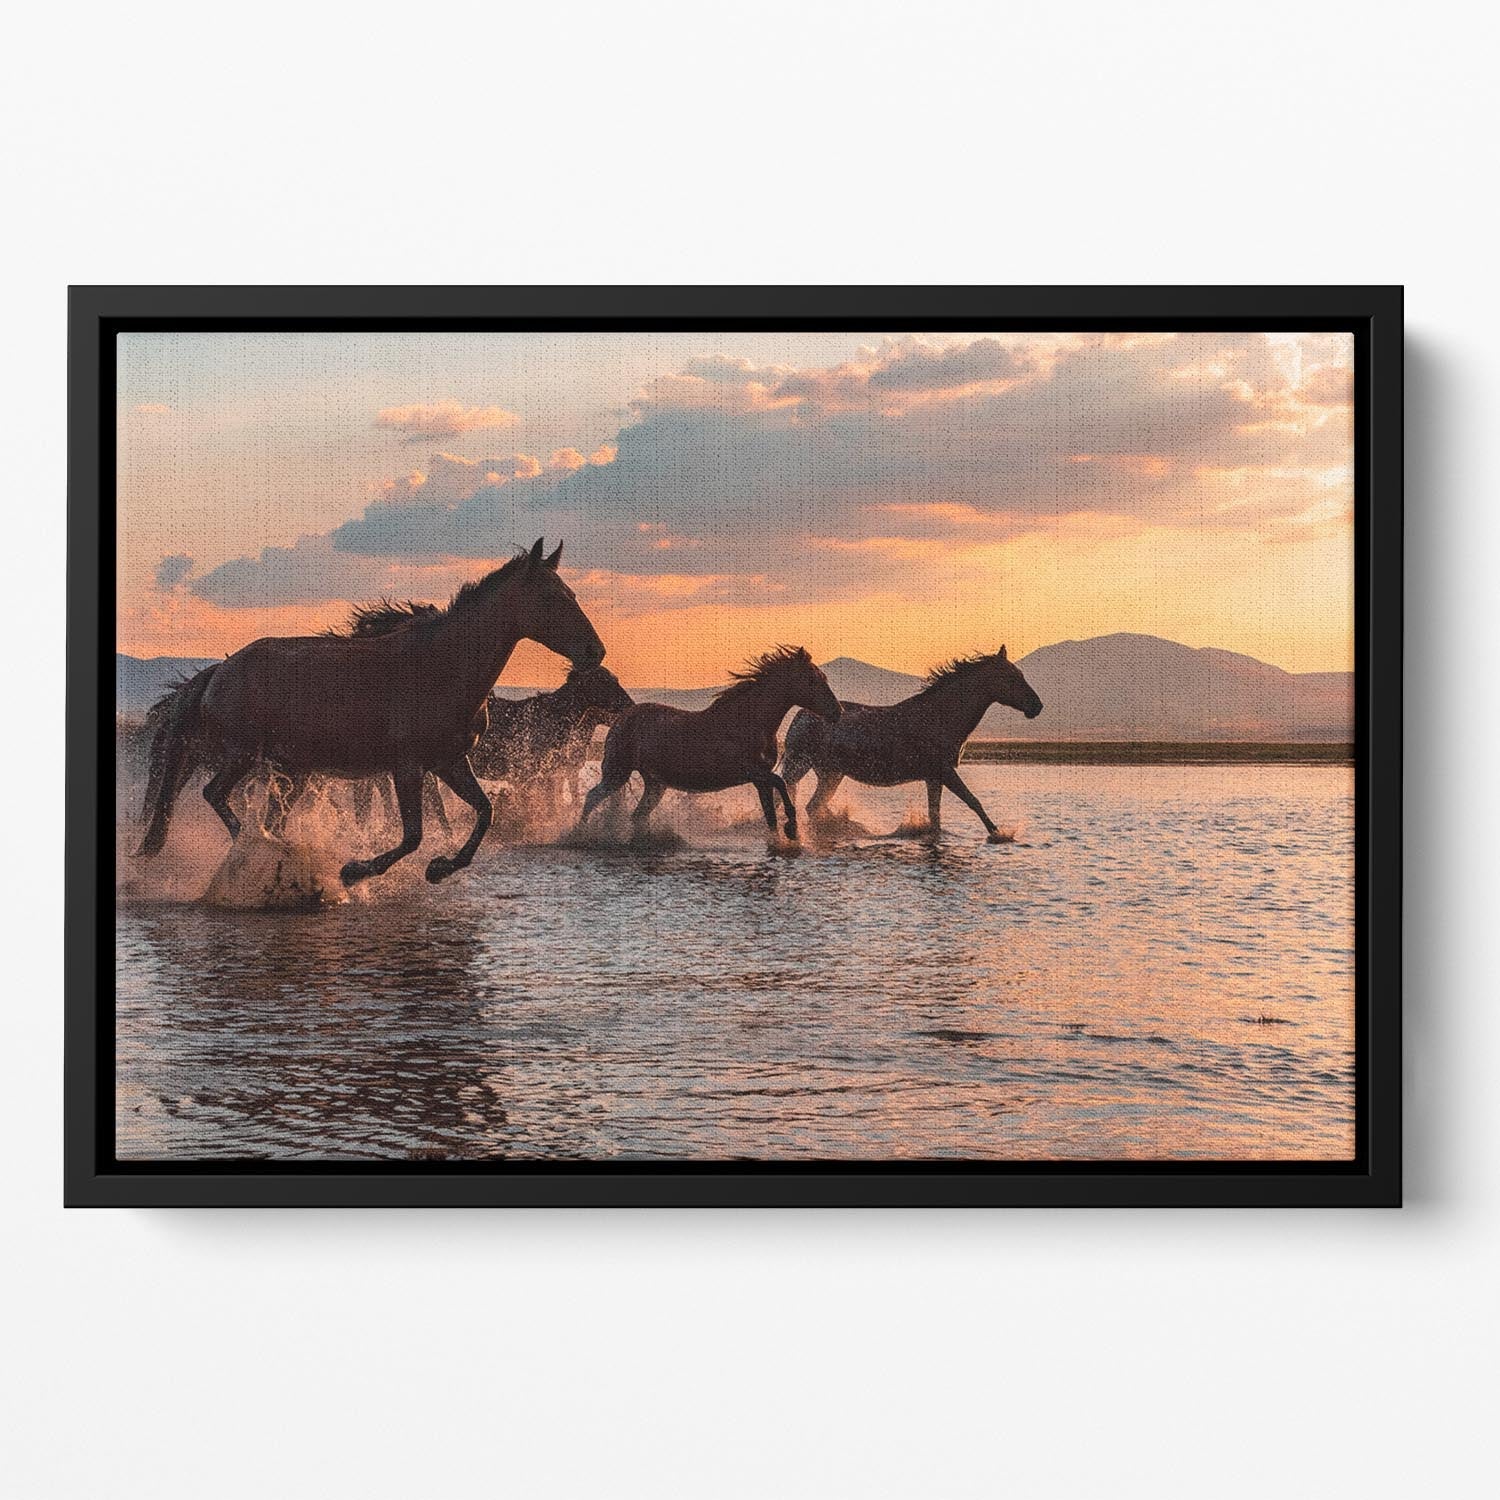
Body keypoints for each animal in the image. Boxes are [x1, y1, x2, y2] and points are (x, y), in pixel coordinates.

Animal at [136, 538, 604, 885]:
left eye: (572, 594)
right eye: (550, 598)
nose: (595, 651)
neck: (441, 666)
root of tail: (220, 670)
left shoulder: (451, 762)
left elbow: (484, 812)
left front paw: (441, 868)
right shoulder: (407, 766)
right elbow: (413, 835)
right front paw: (355, 870)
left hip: (289, 770)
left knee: (264, 814)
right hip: (243, 755)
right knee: (216, 795)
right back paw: (262, 851)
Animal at [577, 645, 842, 841]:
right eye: (813, 680)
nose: (837, 712)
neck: (749, 722)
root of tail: (622, 718)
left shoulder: (760, 780)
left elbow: (770, 816)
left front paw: (783, 837)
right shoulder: (753, 772)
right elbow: (781, 784)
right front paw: (792, 828)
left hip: (655, 784)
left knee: (637, 815)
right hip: (617, 773)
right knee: (592, 798)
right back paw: (580, 835)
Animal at [778, 646, 1042, 841]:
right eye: (1012, 677)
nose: (1037, 706)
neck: (941, 717)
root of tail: (801, 715)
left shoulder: (934, 777)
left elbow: (936, 817)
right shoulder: (945, 772)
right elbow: (973, 801)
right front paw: (999, 834)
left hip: (830, 773)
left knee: (812, 806)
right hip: (800, 764)